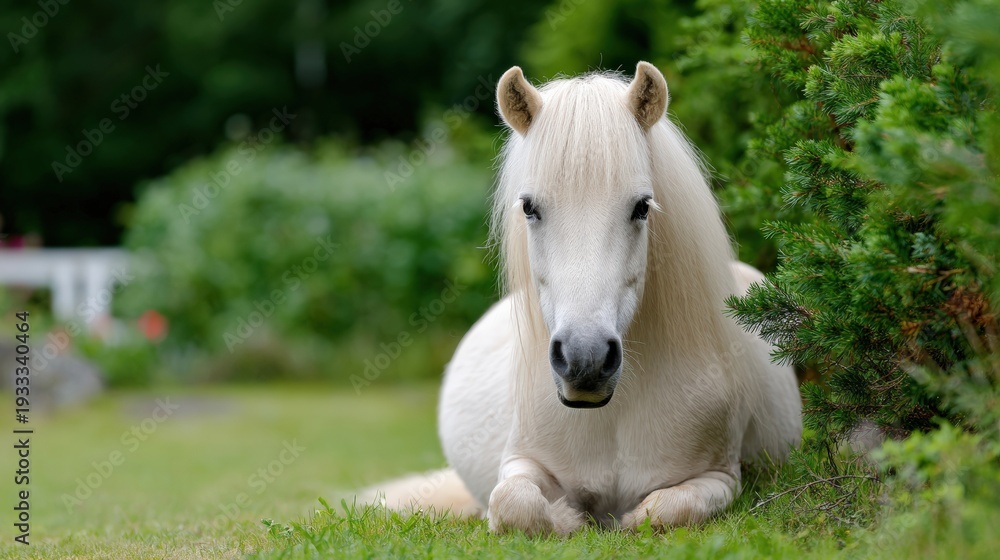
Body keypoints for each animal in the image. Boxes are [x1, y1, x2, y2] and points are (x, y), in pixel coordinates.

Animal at [365, 62, 802, 534]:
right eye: (529, 207)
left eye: (642, 207)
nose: (584, 359)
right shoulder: (521, 462)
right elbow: (513, 503)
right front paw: (568, 518)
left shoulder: (719, 477)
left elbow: (662, 511)